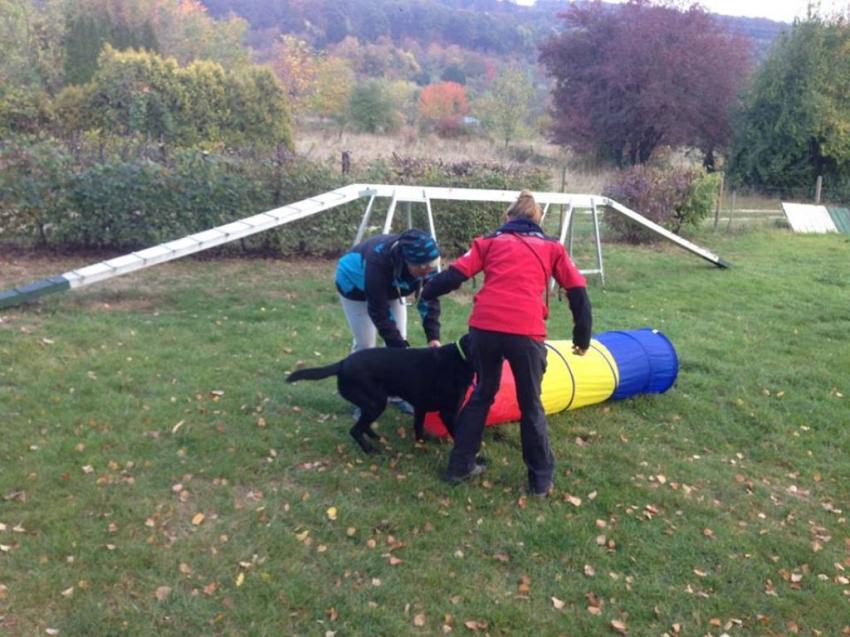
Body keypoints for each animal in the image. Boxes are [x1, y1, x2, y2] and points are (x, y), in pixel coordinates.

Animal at [284, 338, 470, 452]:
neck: (459, 358)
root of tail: (342, 363)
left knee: (363, 425)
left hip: (372, 403)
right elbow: (459, 435)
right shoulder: (448, 413)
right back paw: (370, 450)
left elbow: (418, 428)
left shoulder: (420, 407)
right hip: (377, 403)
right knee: (355, 430)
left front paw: (420, 445)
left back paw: (376, 437)